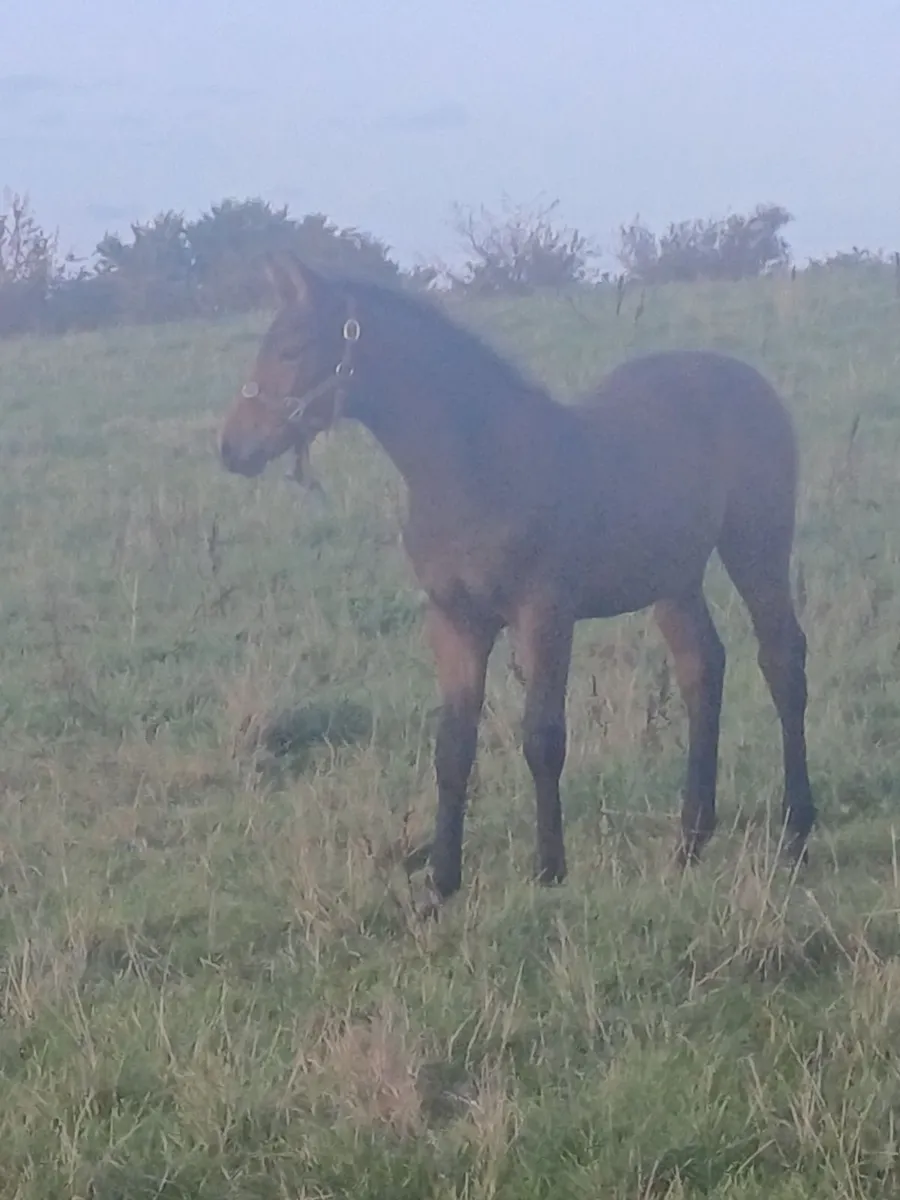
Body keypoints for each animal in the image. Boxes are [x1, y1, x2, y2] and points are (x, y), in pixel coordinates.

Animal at [218, 253, 816, 903]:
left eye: (293, 348)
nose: (232, 448)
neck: (475, 467)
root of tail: (749, 380)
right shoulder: (455, 621)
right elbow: (453, 747)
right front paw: (440, 883)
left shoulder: (544, 614)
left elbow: (543, 738)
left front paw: (549, 870)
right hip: (674, 578)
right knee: (701, 668)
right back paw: (690, 841)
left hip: (756, 546)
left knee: (782, 660)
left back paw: (796, 833)